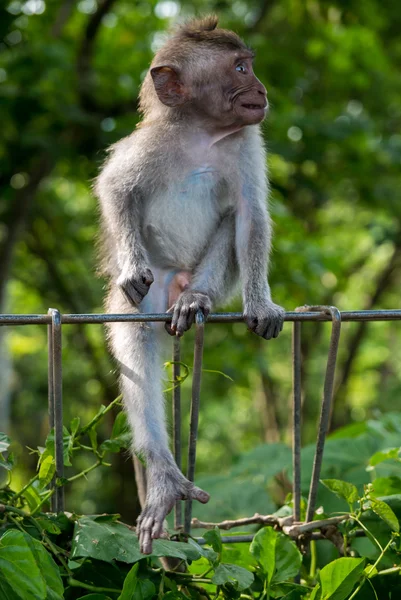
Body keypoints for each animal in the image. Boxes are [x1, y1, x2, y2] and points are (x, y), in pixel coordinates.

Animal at [94, 17, 284, 552]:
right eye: (239, 68)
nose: (262, 89)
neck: (203, 132)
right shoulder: (151, 143)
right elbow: (116, 189)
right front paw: (130, 266)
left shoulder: (247, 142)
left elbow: (251, 217)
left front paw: (261, 304)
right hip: (155, 289)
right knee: (135, 334)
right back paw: (163, 476)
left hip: (194, 278)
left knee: (232, 221)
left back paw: (196, 299)